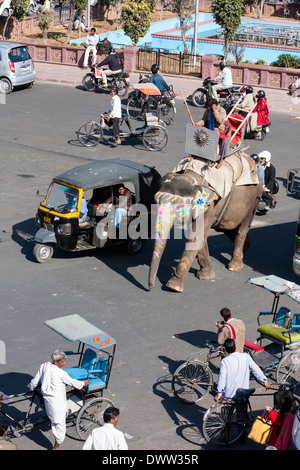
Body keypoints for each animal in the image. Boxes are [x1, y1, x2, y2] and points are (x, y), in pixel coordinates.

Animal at [148, 156, 262, 292]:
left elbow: (196, 237)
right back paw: (245, 248)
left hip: (252, 203)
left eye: (178, 207)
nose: (150, 287)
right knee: (228, 228)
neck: (192, 177)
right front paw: (206, 276)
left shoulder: (209, 205)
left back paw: (234, 266)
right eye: (156, 201)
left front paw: (173, 287)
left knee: (242, 229)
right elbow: (200, 237)